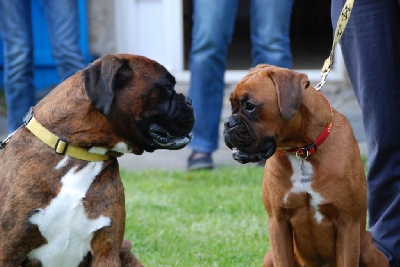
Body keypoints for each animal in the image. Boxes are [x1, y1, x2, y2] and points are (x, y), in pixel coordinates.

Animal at [0, 53, 194, 266]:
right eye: (167, 87)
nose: (190, 100)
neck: (79, 156)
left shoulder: (107, 252)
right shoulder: (8, 251)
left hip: (126, 251)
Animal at [223, 65, 390, 267]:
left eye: (250, 106)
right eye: (231, 105)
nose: (227, 123)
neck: (302, 151)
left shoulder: (348, 225)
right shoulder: (277, 223)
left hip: (369, 251)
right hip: (269, 256)